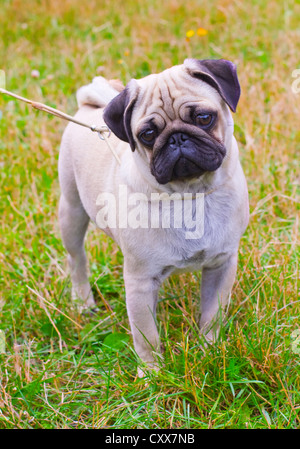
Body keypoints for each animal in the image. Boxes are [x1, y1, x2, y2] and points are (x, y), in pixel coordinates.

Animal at [58, 59, 248, 374]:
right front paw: (151, 374)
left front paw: (209, 351)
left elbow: (213, 315)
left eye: (204, 118)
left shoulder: (221, 265)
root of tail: (89, 106)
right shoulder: (140, 282)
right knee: (77, 259)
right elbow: (146, 336)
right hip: (71, 211)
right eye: (147, 135)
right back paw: (83, 302)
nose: (177, 138)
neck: (189, 195)